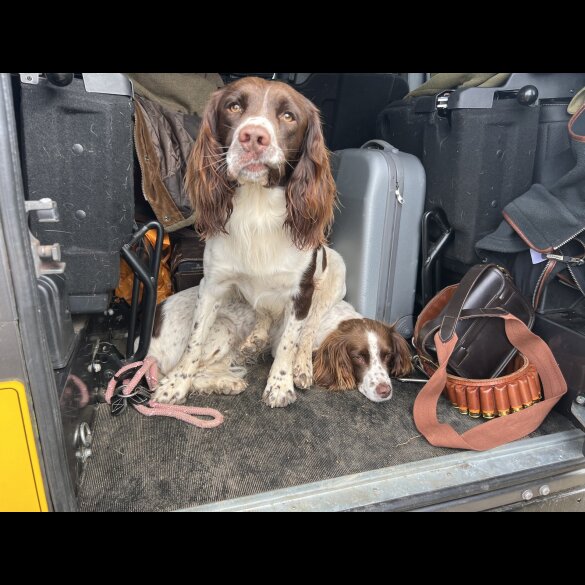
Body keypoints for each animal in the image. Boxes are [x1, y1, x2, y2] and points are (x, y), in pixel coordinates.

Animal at [145, 286, 410, 404]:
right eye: (358, 356)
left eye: (387, 356)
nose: (385, 391)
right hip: (222, 329)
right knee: (186, 374)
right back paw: (227, 383)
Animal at [153, 76, 344, 406]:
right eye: (234, 107)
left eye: (288, 116)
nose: (253, 136)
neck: (258, 210)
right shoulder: (212, 284)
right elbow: (194, 341)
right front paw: (176, 382)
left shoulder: (302, 292)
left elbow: (290, 341)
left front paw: (281, 383)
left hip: (334, 275)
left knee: (308, 332)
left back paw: (301, 367)